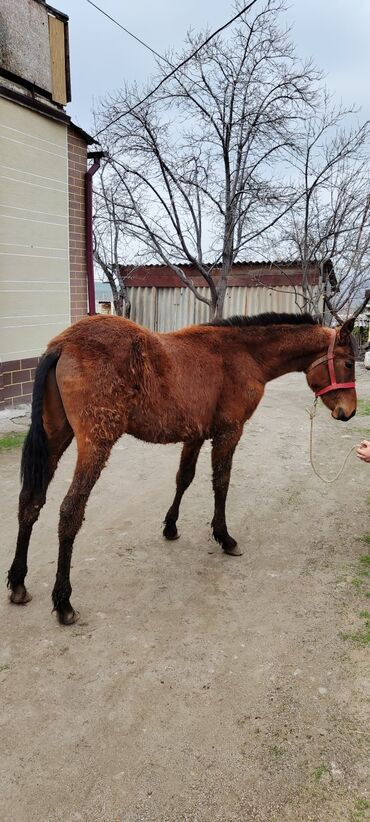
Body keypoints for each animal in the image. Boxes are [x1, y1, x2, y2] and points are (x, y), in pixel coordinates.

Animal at [6, 314, 356, 624]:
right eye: (350, 363)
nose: (348, 412)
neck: (243, 354)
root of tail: (62, 344)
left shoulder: (196, 434)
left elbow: (183, 479)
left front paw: (171, 526)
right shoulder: (229, 432)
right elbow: (221, 482)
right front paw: (224, 537)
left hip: (55, 438)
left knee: (30, 502)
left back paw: (19, 582)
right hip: (94, 444)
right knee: (70, 510)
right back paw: (63, 601)